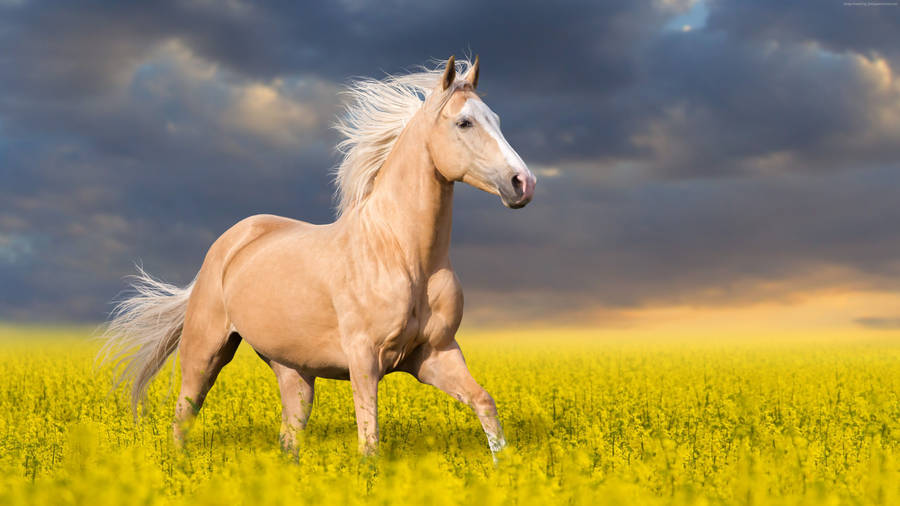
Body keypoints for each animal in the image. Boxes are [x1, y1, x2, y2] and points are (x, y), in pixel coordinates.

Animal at [100, 56, 536, 458]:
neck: (403, 255)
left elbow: (485, 403)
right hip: (205, 352)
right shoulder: (365, 359)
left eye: (496, 119)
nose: (523, 183)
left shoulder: (435, 354)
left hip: (294, 371)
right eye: (464, 123)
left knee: (289, 436)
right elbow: (369, 441)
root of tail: (229, 243)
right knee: (183, 416)